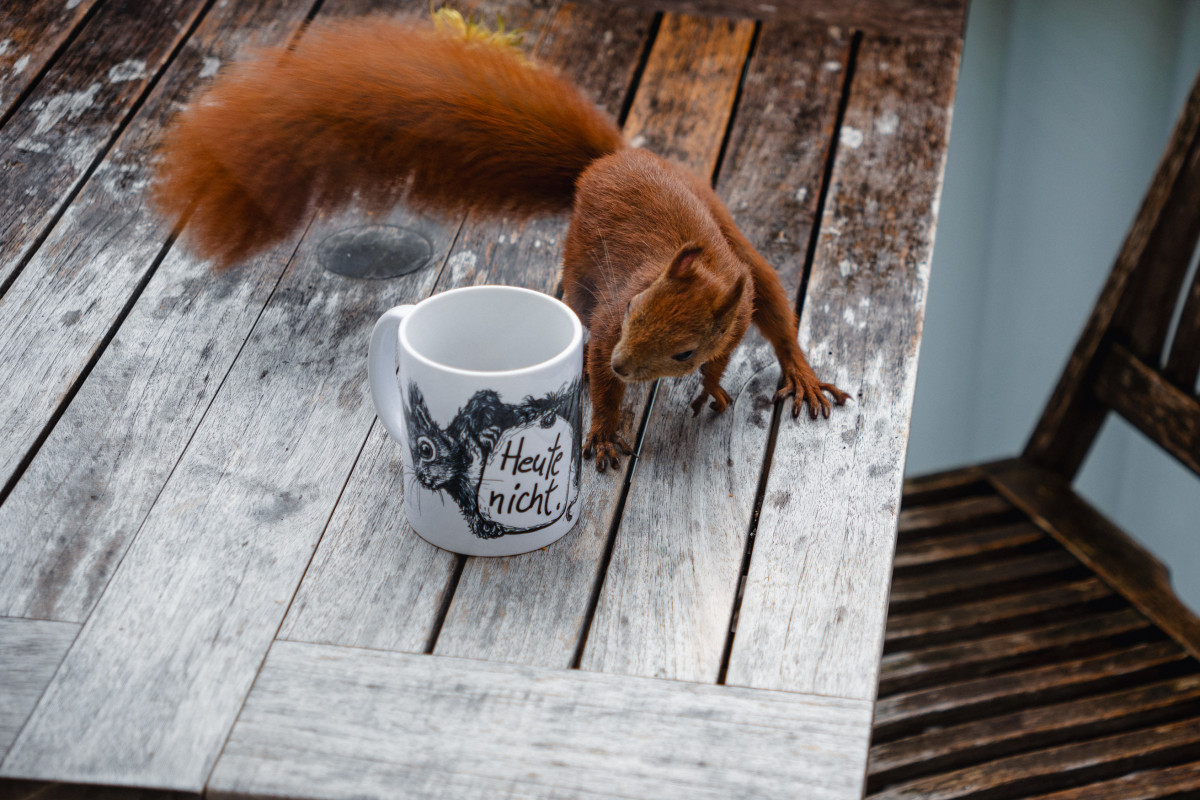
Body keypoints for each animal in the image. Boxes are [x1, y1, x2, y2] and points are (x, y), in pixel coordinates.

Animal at [154, 15, 849, 472]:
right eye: (634, 309)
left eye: (679, 349)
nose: (626, 364)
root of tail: (609, 161)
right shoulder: (607, 322)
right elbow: (598, 376)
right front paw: (603, 429)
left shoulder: (722, 320)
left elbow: (720, 357)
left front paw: (708, 383)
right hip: (581, 255)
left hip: (739, 246)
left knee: (775, 309)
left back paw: (802, 374)